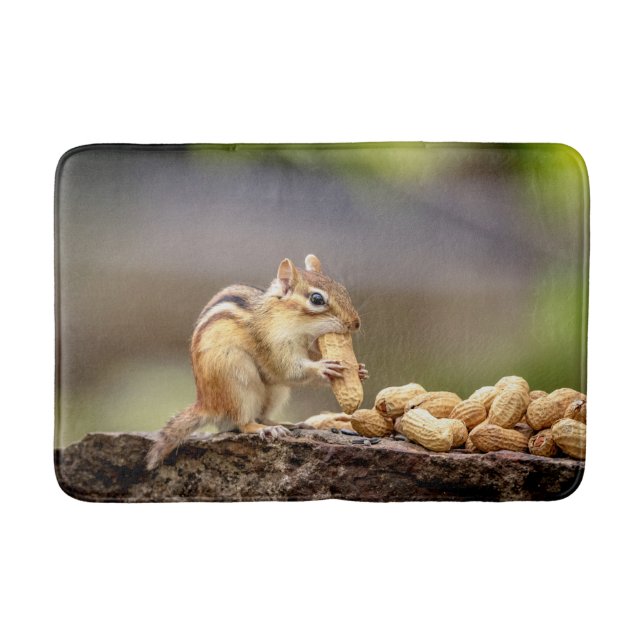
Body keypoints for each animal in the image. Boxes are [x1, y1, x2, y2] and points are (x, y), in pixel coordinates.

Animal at [145, 254, 367, 469]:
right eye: (317, 299)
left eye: (343, 289)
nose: (356, 323)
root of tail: (207, 404)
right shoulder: (272, 344)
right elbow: (289, 370)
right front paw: (322, 367)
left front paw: (360, 370)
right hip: (237, 380)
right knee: (243, 423)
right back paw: (265, 429)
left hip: (275, 391)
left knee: (262, 414)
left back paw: (286, 424)